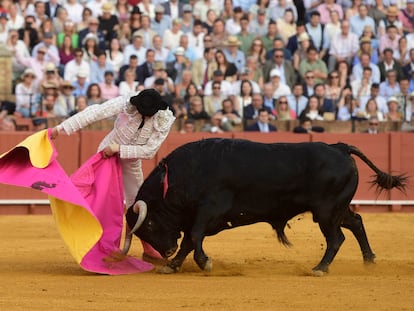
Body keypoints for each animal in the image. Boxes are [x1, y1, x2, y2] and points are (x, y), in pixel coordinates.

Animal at [124, 139, 406, 276]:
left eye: (150, 223)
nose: (166, 251)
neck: (178, 177)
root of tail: (340, 147)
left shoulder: (209, 211)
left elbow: (193, 237)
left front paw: (204, 263)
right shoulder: (198, 216)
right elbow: (190, 241)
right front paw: (172, 266)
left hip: (326, 212)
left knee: (337, 238)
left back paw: (319, 268)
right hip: (336, 209)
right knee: (356, 222)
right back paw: (369, 261)